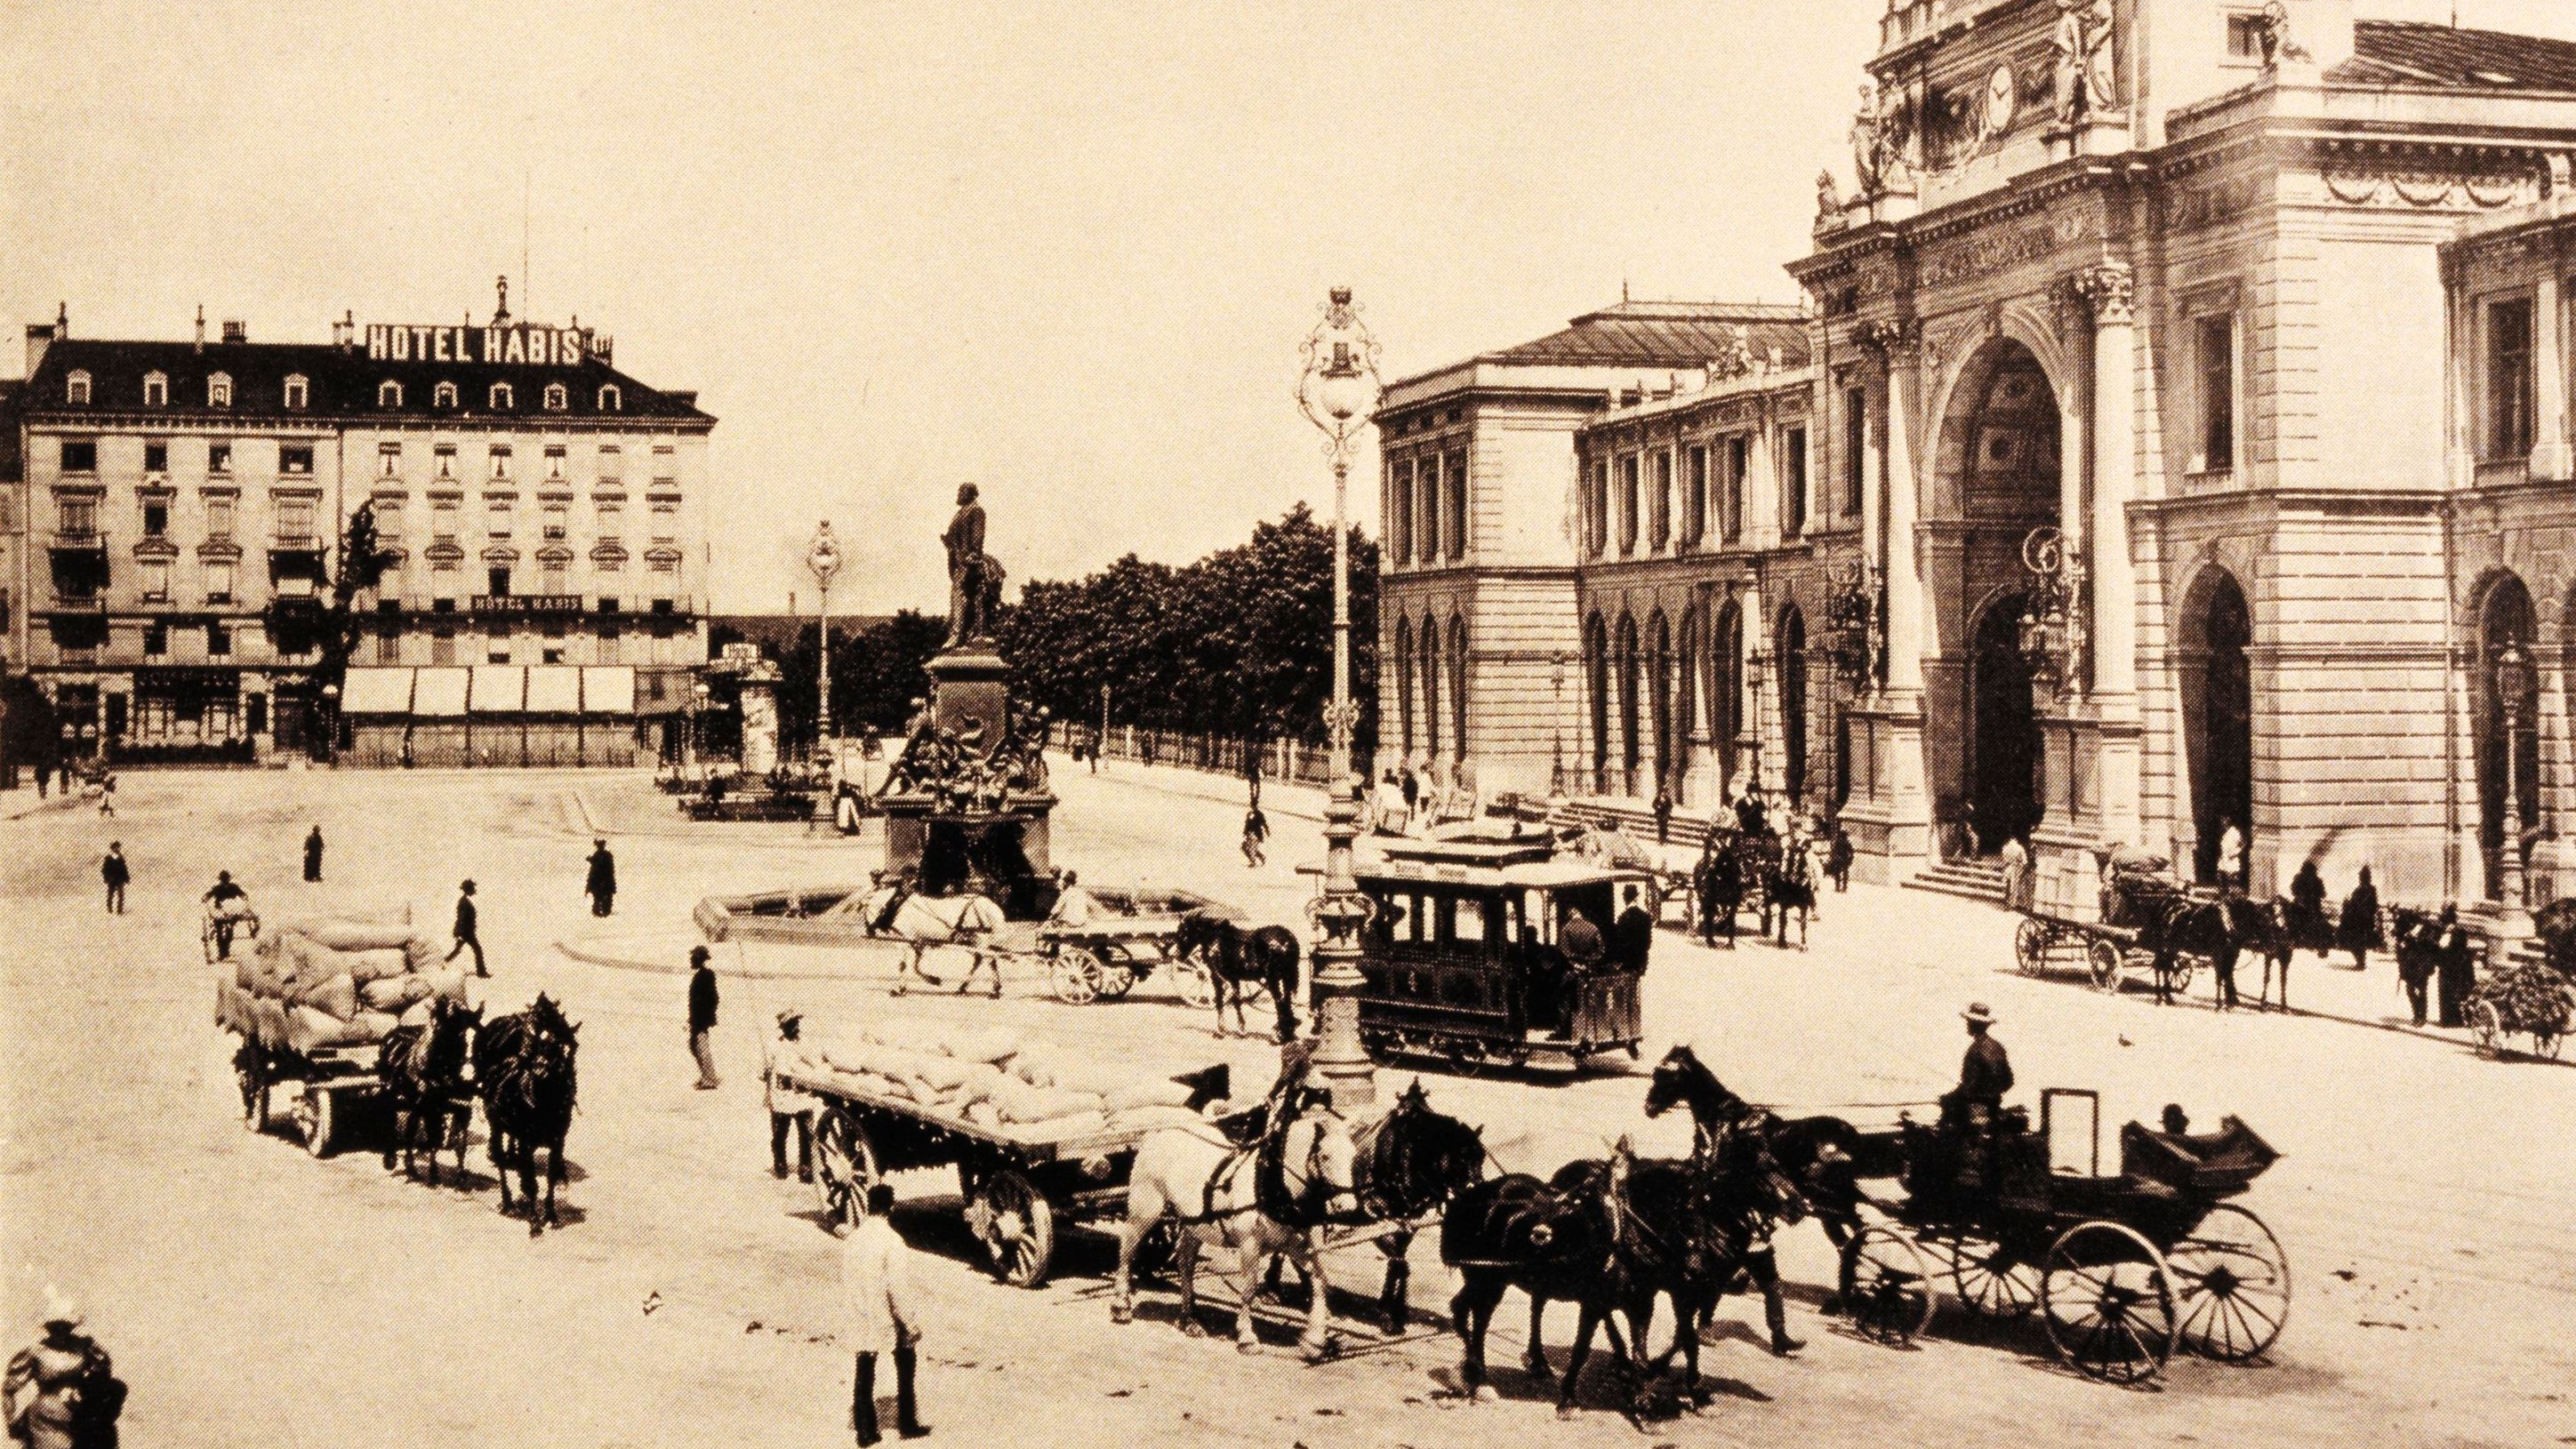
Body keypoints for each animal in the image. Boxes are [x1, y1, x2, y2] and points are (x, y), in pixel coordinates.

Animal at [378, 1004, 484, 1183]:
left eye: (480, 1037)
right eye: (460, 1037)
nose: (469, 1076)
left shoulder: (463, 1110)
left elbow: (460, 1143)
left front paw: (462, 1177)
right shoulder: (431, 1109)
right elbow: (432, 1139)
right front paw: (434, 1174)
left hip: (415, 1104)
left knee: (410, 1129)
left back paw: (411, 1168)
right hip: (392, 1095)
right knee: (391, 1121)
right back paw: (391, 1159)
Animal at [474, 998, 579, 1235]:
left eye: (560, 1047)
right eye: (534, 1042)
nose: (541, 1071)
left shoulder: (558, 1140)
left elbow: (550, 1175)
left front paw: (551, 1214)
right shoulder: (526, 1140)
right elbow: (531, 1181)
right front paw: (534, 1221)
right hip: (496, 1124)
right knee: (500, 1159)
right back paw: (507, 1200)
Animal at [845, 885, 1004, 998]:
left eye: (864, 910)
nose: (869, 931)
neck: (895, 905)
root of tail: (991, 907)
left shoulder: (903, 940)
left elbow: (903, 965)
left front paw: (899, 989)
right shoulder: (917, 942)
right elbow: (916, 966)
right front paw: (933, 980)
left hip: (980, 938)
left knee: (988, 959)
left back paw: (992, 990)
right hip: (976, 941)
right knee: (984, 959)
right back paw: (967, 987)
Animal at [1112, 1111, 1360, 1358]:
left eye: (1353, 1156)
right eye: (1325, 1156)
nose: (1348, 1207)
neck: (1272, 1182)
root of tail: (1157, 1134)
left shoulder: (1294, 1244)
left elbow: (1320, 1281)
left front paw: (1315, 1340)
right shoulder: (1250, 1243)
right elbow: (1249, 1287)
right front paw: (1247, 1337)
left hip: (1194, 1224)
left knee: (1185, 1262)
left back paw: (1190, 1318)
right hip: (1146, 1210)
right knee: (1127, 1249)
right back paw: (1121, 1305)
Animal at [1184, 906, 1308, 1045]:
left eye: (1184, 930)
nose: (1178, 954)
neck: (1218, 940)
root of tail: (1287, 940)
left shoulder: (1217, 978)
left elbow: (1221, 1001)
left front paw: (1222, 1030)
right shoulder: (1234, 979)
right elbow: (1237, 1001)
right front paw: (1241, 1029)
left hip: (1273, 979)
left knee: (1279, 1001)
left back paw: (1280, 1035)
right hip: (1285, 978)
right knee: (1286, 1000)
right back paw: (1288, 1033)